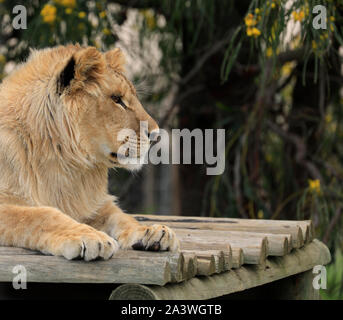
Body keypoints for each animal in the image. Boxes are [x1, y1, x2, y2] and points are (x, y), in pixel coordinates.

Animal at [0, 44, 180, 260]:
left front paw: (150, 231)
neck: (66, 162)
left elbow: (120, 216)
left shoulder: (90, 203)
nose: (155, 135)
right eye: (117, 99)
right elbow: (40, 215)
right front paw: (91, 237)